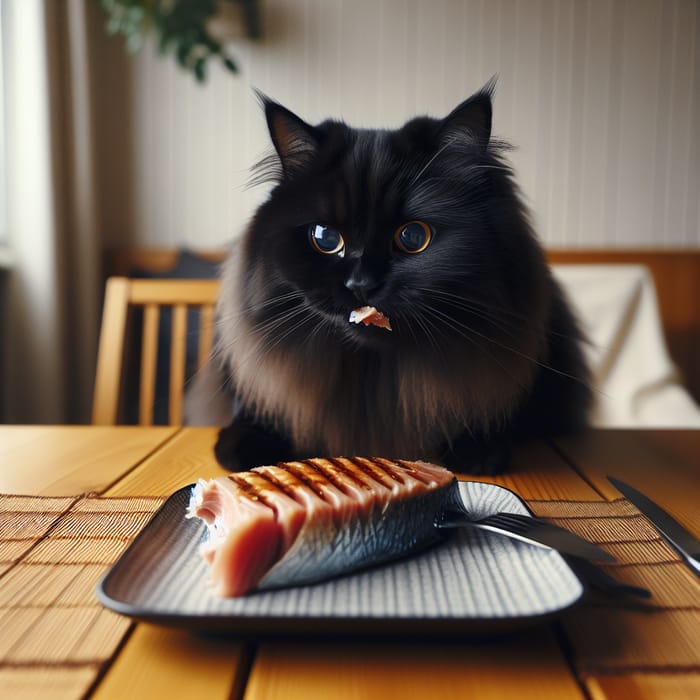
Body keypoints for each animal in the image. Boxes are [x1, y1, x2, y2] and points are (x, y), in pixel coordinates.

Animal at [186, 85, 592, 474]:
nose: (361, 284)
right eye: (325, 238)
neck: (375, 378)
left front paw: (479, 451)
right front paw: (246, 447)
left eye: (412, 237)